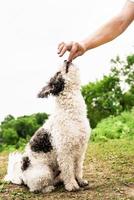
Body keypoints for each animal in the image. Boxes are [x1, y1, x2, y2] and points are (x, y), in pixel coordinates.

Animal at [4, 60, 91, 192]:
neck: (70, 112)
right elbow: (69, 170)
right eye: (58, 73)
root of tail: (21, 176)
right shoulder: (65, 151)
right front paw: (72, 185)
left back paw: (58, 181)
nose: (65, 60)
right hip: (44, 172)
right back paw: (48, 188)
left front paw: (80, 181)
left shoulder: (80, 150)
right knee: (35, 187)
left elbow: (77, 168)